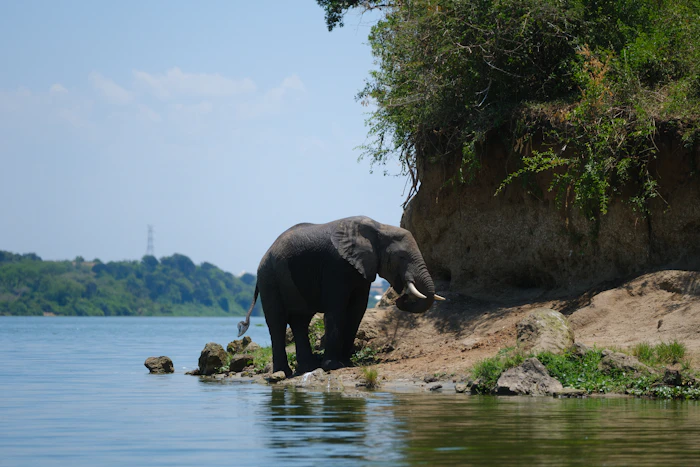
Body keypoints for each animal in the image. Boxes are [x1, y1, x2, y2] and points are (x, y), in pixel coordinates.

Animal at [237, 216, 444, 377]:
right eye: (401, 257)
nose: (400, 298)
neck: (379, 227)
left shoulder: (362, 268)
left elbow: (357, 311)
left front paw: (346, 363)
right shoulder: (336, 265)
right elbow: (336, 310)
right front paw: (334, 366)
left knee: (300, 321)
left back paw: (307, 368)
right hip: (269, 279)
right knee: (277, 322)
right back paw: (283, 372)